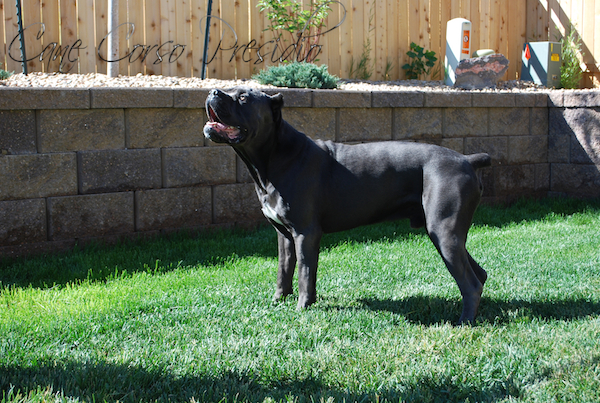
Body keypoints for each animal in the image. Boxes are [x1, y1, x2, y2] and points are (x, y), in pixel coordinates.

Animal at [204, 87, 490, 326]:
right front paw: (278, 301)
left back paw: (464, 322)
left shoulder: (305, 233)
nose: (213, 91)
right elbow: (284, 270)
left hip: (443, 232)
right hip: (449, 237)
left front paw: (302, 307)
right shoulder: (284, 235)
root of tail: (467, 159)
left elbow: (304, 272)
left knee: (470, 283)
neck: (273, 157)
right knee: (480, 274)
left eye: (243, 97)